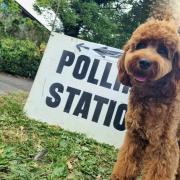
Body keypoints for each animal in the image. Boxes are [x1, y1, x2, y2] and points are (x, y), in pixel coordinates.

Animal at [111, 18, 180, 180]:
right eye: (141, 45)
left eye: (162, 51)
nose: (144, 62)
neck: (150, 95)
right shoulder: (134, 136)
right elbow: (126, 164)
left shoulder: (164, 146)